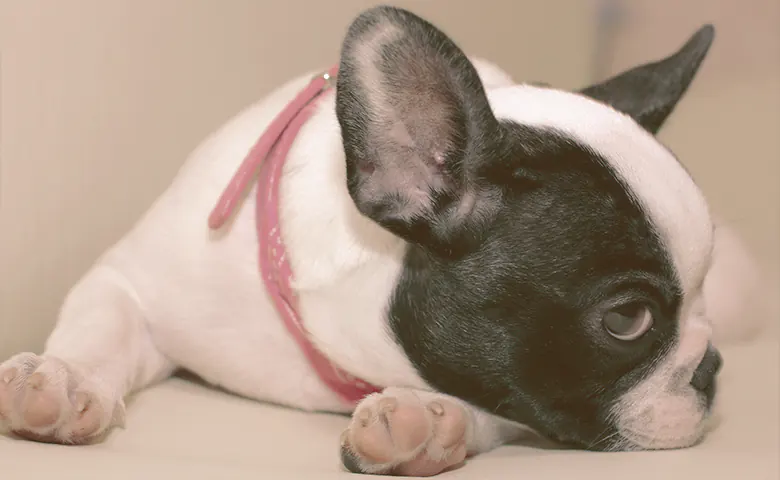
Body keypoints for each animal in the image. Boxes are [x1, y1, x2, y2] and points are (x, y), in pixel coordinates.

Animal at [0, 5, 764, 478]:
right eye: (627, 319)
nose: (711, 368)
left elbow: (497, 406)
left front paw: (430, 420)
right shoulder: (133, 280)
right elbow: (100, 325)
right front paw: (63, 379)